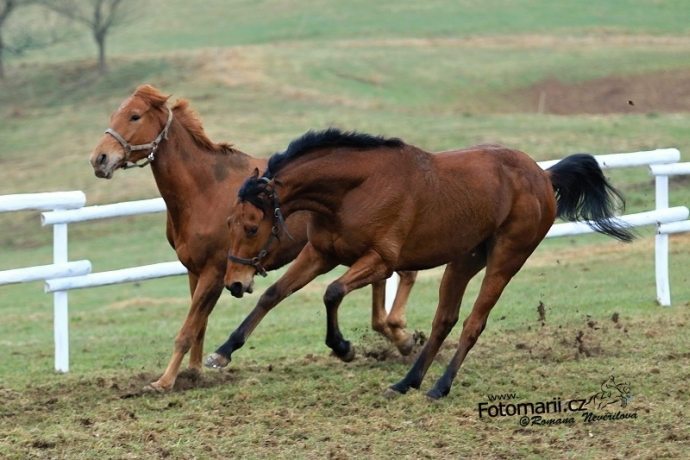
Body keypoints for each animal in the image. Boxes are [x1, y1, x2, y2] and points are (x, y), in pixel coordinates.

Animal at [88, 86, 416, 392]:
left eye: (135, 116)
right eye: (114, 115)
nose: (99, 159)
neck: (204, 190)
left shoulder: (215, 271)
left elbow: (188, 329)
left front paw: (164, 382)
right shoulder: (194, 270)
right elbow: (199, 325)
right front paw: (193, 371)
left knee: (402, 275)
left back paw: (399, 333)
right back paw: (398, 335)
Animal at [206, 126, 636, 398]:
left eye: (251, 227)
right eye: (227, 223)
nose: (235, 283)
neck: (354, 189)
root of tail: (543, 176)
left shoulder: (380, 261)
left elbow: (332, 292)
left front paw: (342, 347)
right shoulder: (321, 253)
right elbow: (274, 295)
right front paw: (222, 352)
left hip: (506, 258)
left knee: (473, 323)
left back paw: (439, 387)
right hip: (464, 260)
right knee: (444, 320)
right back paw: (406, 383)